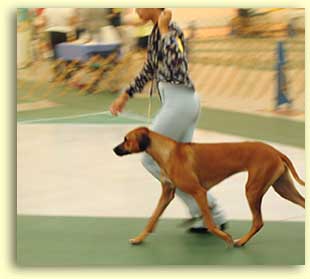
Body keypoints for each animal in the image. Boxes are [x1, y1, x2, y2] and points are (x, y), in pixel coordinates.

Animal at [114, 127, 306, 247]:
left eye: (126, 140)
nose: (114, 150)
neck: (168, 152)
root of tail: (276, 151)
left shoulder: (199, 192)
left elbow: (210, 222)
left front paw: (225, 237)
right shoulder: (167, 194)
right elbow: (152, 218)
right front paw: (139, 239)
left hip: (252, 190)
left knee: (258, 222)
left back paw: (241, 241)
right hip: (283, 189)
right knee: (302, 202)